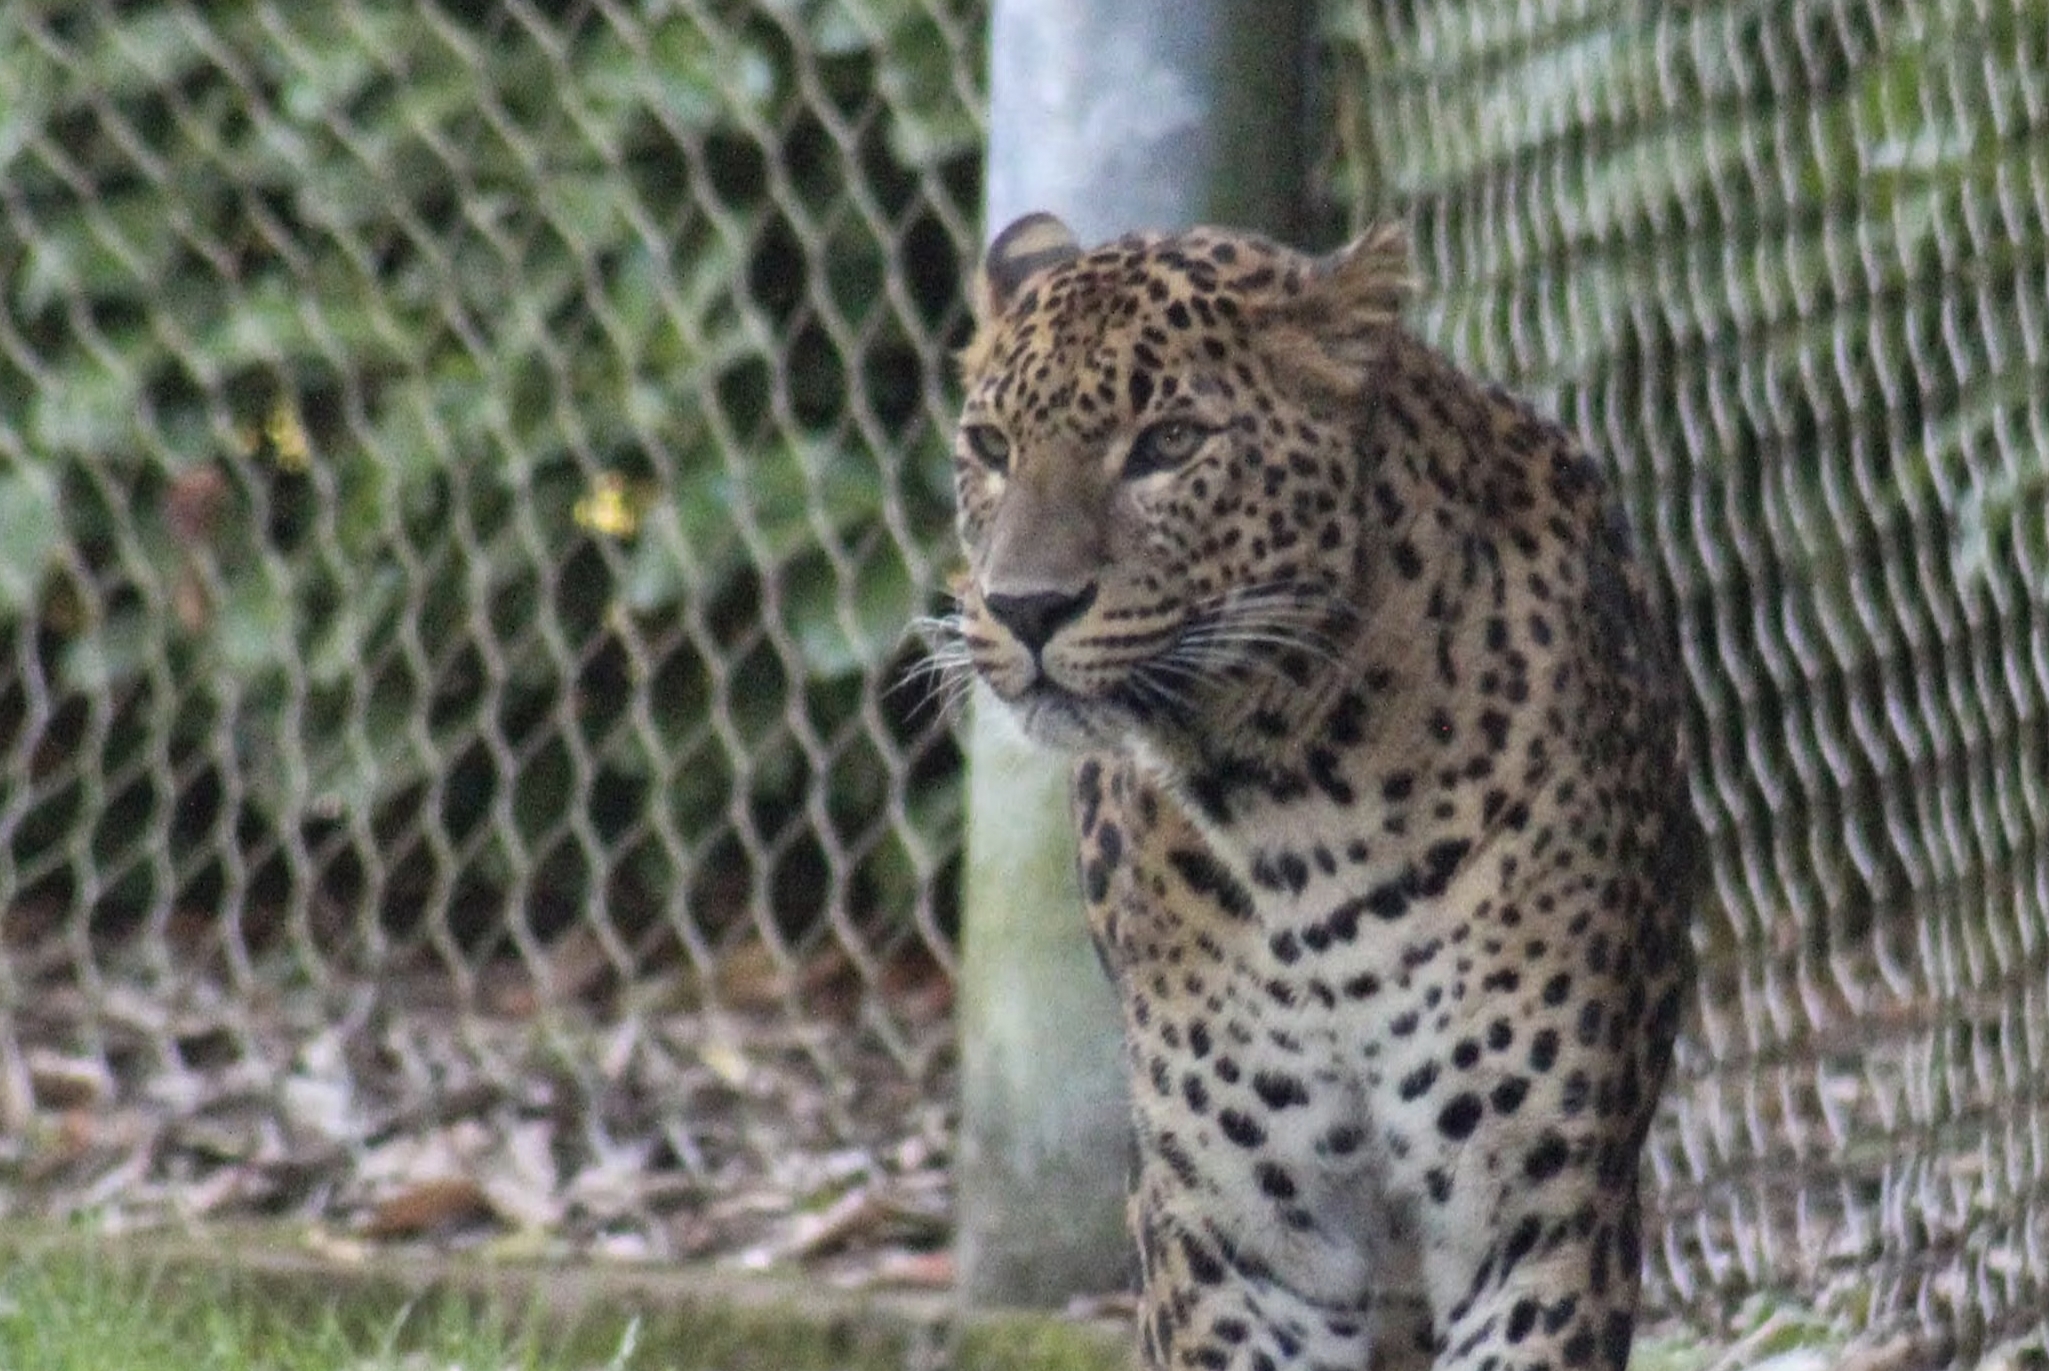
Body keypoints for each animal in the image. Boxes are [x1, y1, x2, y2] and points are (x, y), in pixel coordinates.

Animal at [934, 211, 1699, 1371]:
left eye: (1169, 444)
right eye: (989, 448)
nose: (1024, 607)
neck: (1298, 800)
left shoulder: (1537, 1211)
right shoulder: (1236, 1233)